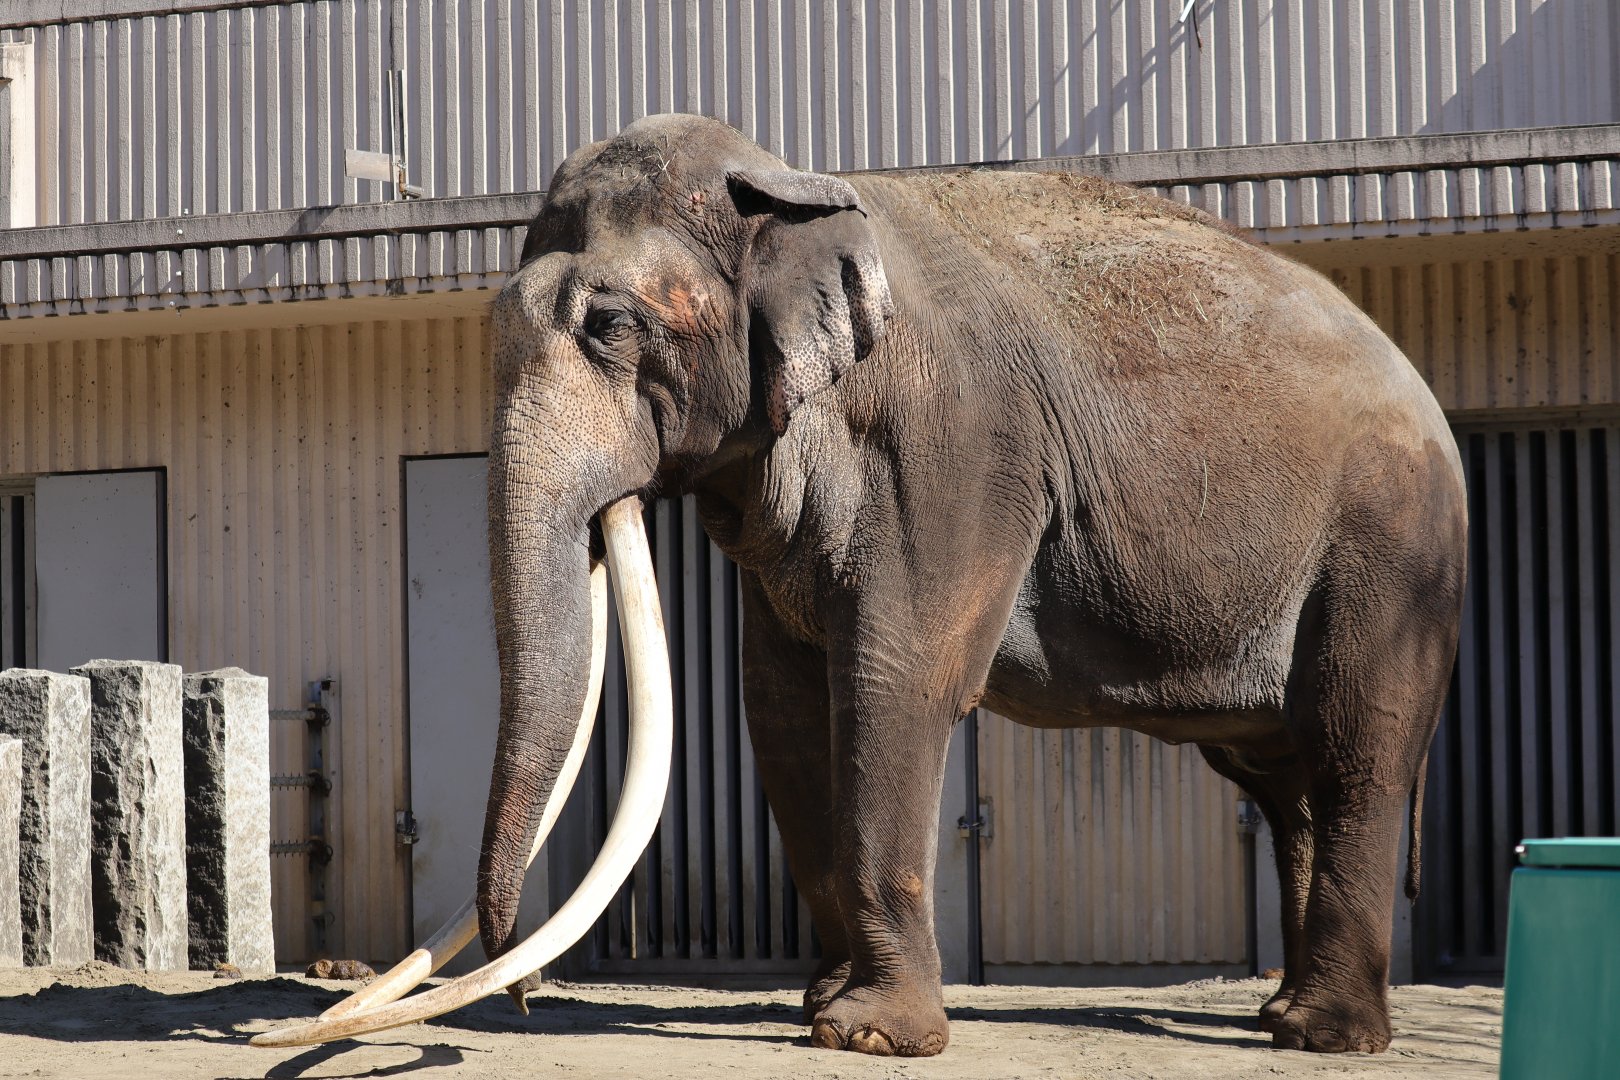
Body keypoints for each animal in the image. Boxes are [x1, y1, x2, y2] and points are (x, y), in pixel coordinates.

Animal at [255, 113, 1466, 1058]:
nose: (516, 997)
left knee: (1355, 746)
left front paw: (872, 1036)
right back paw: (1278, 1017)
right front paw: (824, 1007)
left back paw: (1326, 1036)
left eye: (610, 326)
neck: (787, 185)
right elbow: (782, 703)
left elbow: (896, 677)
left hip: (1394, 545)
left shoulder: (959, 445)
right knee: (1283, 774)